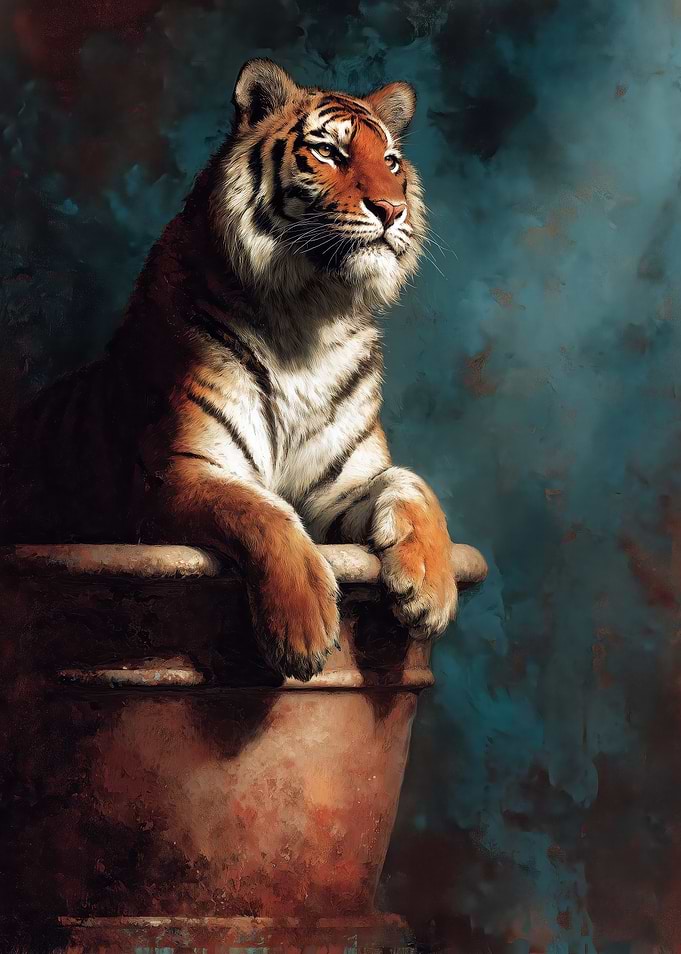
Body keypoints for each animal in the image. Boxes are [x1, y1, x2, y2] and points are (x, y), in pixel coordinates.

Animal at [0, 58, 459, 681]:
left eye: (390, 162)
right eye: (329, 152)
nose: (392, 210)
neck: (309, 319)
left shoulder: (342, 484)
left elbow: (411, 482)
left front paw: (431, 589)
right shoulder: (177, 473)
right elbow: (260, 510)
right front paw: (304, 628)